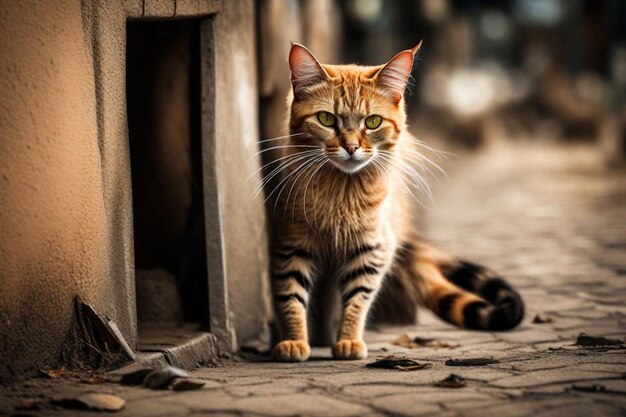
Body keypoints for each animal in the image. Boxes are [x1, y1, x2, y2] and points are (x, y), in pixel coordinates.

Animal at [268, 43, 520, 360]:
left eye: (372, 122)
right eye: (326, 119)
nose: (351, 147)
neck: (341, 193)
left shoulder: (373, 248)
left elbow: (357, 299)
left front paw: (348, 340)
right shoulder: (292, 243)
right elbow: (291, 296)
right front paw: (295, 341)